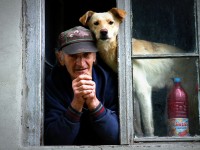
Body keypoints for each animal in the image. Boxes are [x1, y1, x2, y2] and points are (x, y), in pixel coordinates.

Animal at [79, 7, 197, 137]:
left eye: (111, 22)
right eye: (96, 23)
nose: (104, 32)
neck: (114, 48)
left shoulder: (143, 90)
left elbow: (148, 125)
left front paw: (150, 137)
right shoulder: (134, 94)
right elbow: (136, 123)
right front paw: (138, 135)